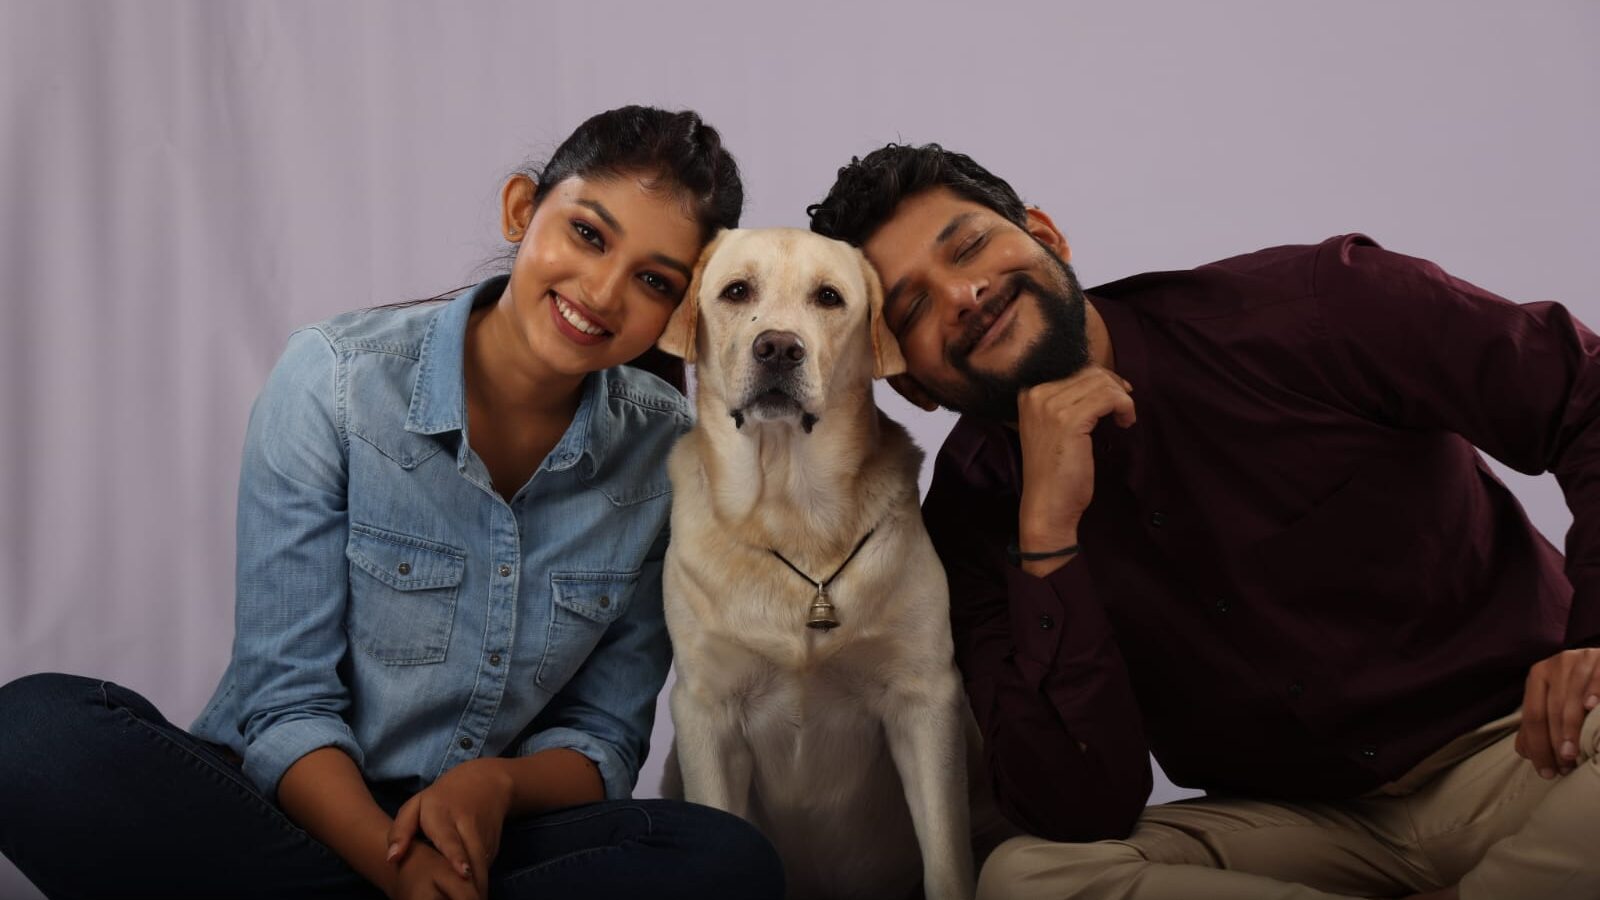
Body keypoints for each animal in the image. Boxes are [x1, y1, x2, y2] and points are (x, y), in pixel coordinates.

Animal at [656, 228, 981, 900]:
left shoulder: (926, 701)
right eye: (736, 291)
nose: (779, 347)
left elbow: (946, 860)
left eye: (829, 297)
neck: (791, 515)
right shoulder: (705, 711)